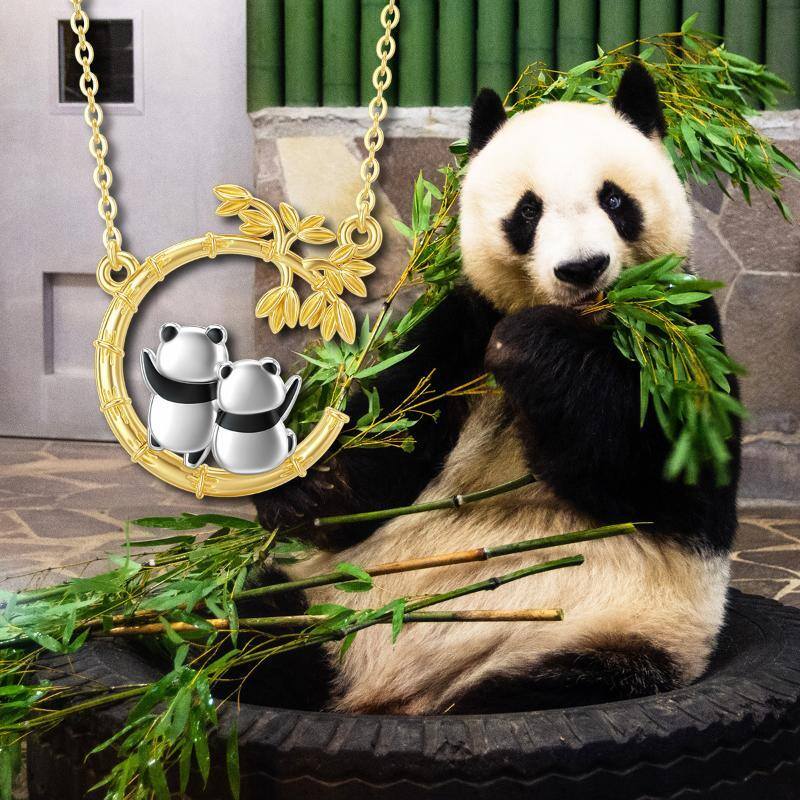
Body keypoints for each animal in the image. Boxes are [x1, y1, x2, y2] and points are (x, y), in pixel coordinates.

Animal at [243, 62, 741, 715]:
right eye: (527, 212)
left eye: (614, 199)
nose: (582, 269)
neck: (588, 320)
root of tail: (385, 695)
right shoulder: (458, 332)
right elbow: (388, 452)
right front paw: (310, 487)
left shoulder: (681, 335)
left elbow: (673, 484)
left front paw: (532, 349)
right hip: (327, 602)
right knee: (237, 629)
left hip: (608, 641)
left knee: (542, 694)